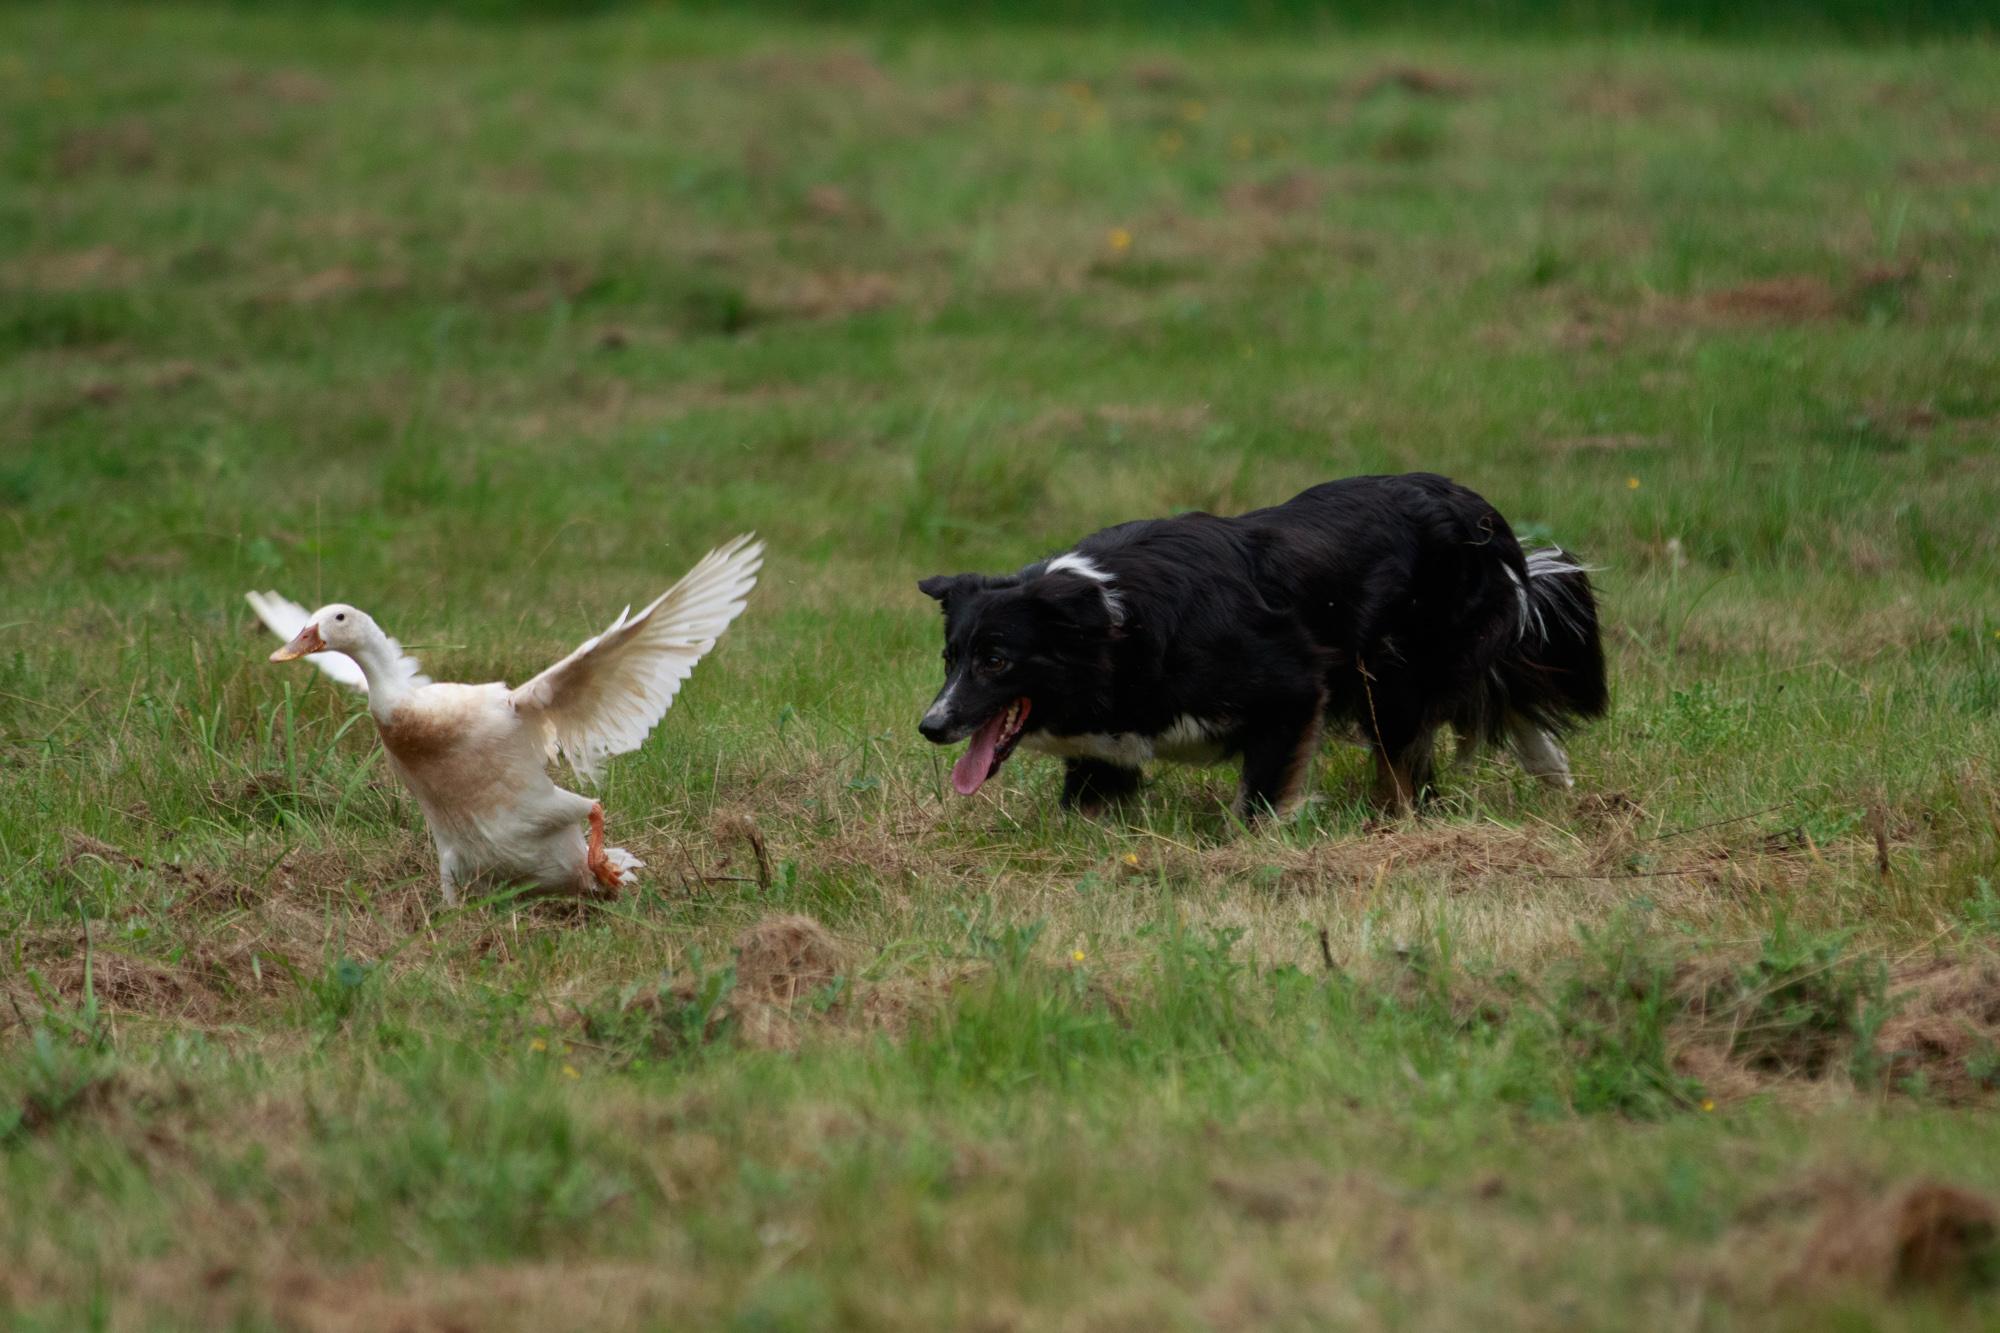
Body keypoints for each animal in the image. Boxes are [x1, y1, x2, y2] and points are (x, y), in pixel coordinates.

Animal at [920, 472, 1608, 816]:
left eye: (996, 661)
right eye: (951, 659)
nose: (930, 726)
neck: (1112, 621)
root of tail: (1476, 508)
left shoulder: (1293, 688)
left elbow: (1259, 801)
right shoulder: (1105, 749)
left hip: (1395, 675)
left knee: (1414, 755)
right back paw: (1553, 773)